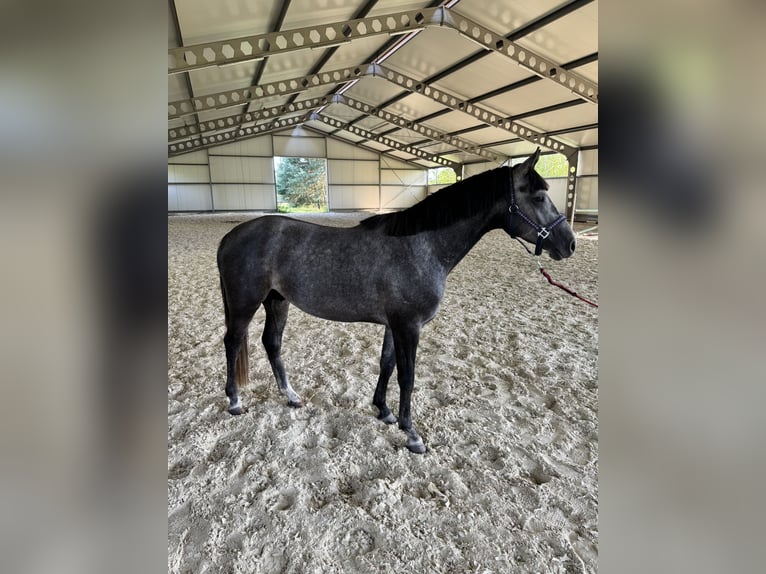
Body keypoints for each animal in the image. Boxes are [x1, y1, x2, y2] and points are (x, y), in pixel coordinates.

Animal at [216, 147, 576, 454]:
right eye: (540, 196)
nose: (570, 244)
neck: (422, 246)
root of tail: (230, 236)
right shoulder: (409, 326)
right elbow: (408, 376)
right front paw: (411, 433)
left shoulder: (394, 325)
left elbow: (387, 365)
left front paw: (384, 411)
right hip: (245, 303)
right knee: (232, 342)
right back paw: (234, 402)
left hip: (277, 301)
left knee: (272, 343)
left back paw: (290, 396)